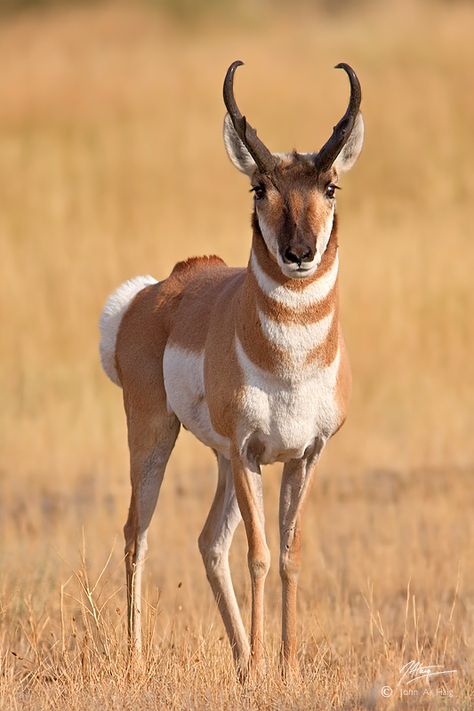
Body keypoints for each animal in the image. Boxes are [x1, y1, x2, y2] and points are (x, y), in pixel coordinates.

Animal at [99, 59, 362, 672]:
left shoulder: (303, 455)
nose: (299, 254)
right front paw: (268, 665)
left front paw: (284, 665)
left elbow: (288, 555)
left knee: (207, 542)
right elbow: (259, 555)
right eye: (259, 187)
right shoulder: (250, 454)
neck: (290, 365)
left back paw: (241, 661)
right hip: (155, 436)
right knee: (137, 532)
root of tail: (154, 291)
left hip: (219, 460)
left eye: (330, 186)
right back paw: (141, 659)